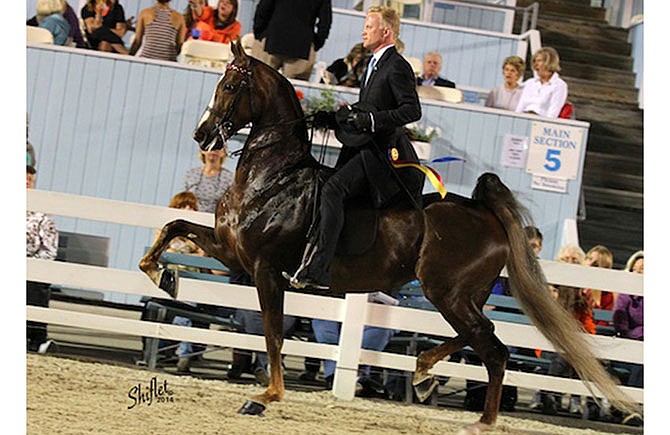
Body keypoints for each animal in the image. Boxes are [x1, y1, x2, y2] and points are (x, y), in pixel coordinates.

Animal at [138, 39, 636, 434]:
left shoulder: (264, 269)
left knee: (492, 348)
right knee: (482, 335)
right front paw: (162, 275)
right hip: (459, 296)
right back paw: (424, 371)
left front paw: (266, 397)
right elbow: (173, 227)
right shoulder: (232, 252)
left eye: (228, 86)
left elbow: (274, 332)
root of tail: (484, 211)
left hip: (446, 292)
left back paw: (479, 420)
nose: (202, 135)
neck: (273, 176)